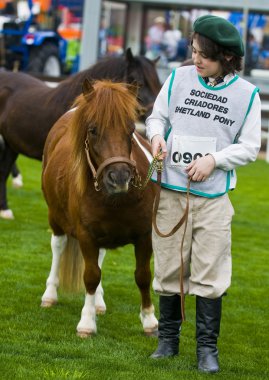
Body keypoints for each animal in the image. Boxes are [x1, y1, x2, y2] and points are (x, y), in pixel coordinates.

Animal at [39, 79, 157, 336]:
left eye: (131, 130)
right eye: (93, 130)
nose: (119, 177)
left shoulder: (145, 235)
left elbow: (143, 276)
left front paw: (149, 320)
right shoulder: (86, 234)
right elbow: (91, 276)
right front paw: (86, 322)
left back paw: (99, 303)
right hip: (55, 217)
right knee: (58, 246)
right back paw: (50, 295)